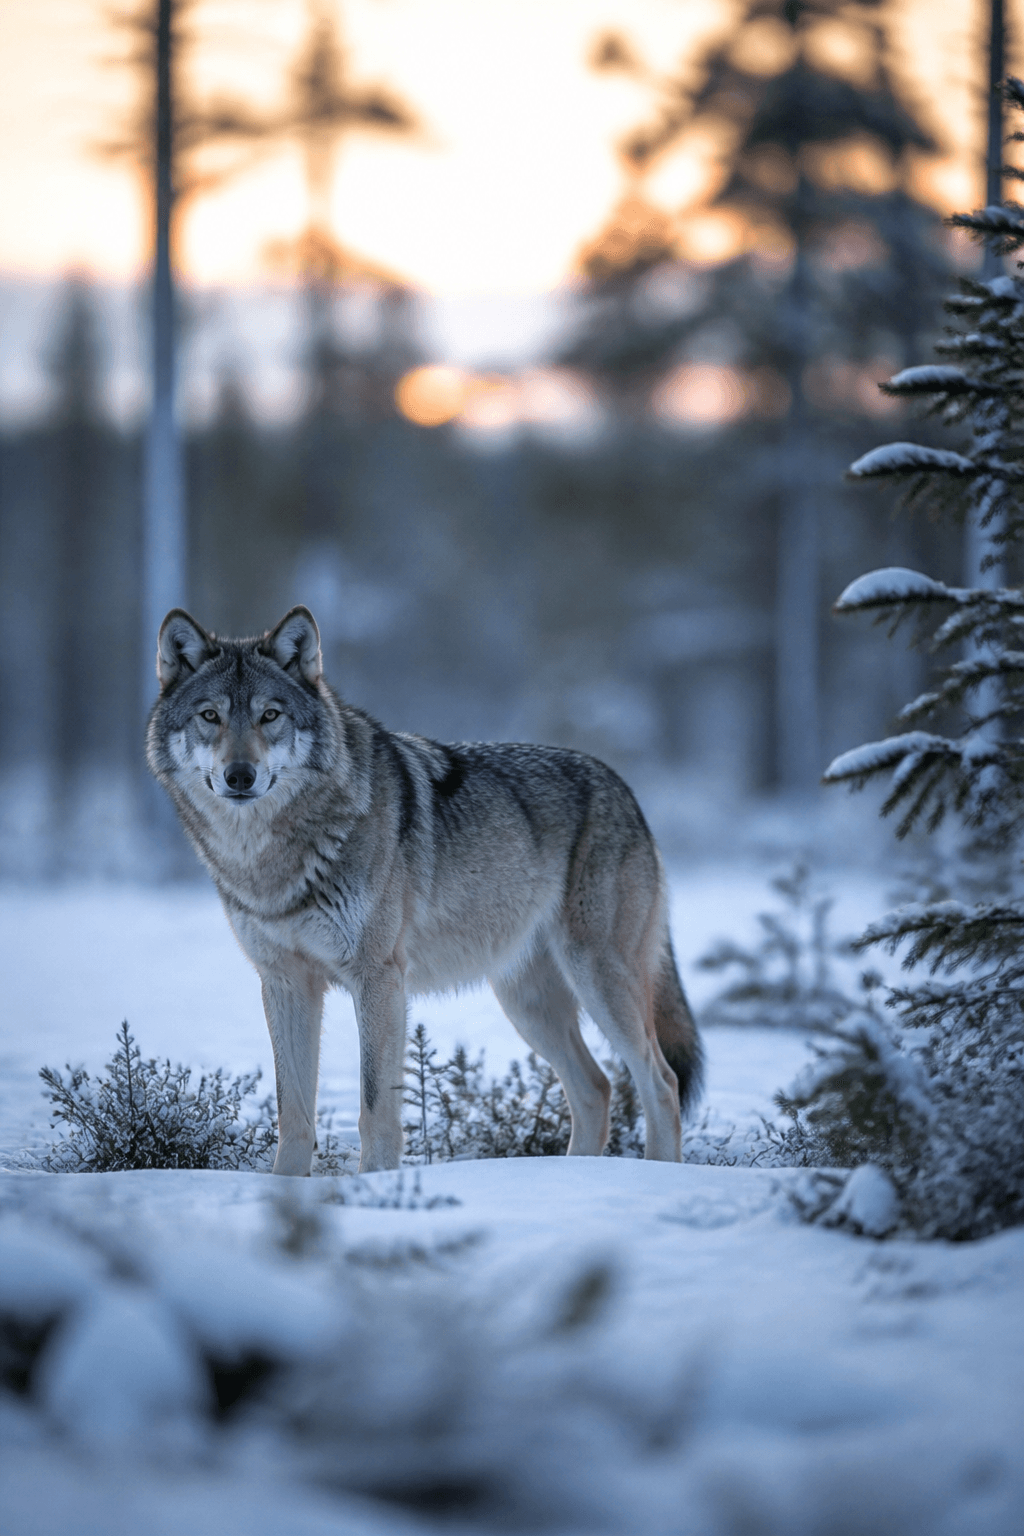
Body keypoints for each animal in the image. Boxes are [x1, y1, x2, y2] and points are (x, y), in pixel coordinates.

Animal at [147, 606, 703, 1175]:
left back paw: (655, 1175)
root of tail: (623, 786)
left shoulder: (378, 978)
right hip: (527, 1003)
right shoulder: (284, 983)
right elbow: (294, 1113)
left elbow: (375, 1107)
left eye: (270, 715)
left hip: (598, 979)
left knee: (660, 1082)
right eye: (210, 716)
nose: (240, 775)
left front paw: (374, 1184)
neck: (272, 860)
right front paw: (284, 1189)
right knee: (596, 1088)